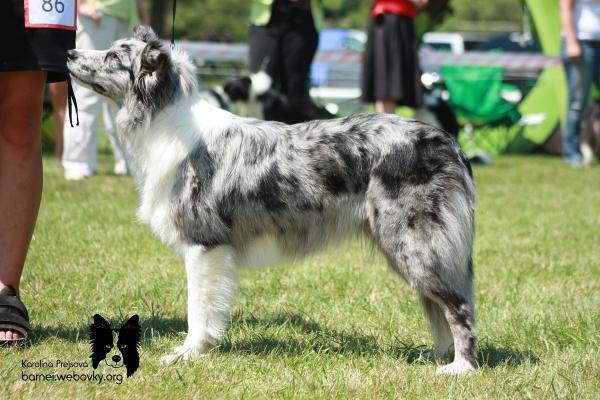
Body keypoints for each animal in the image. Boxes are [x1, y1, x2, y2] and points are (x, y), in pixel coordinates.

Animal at [65, 28, 478, 376]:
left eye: (113, 58)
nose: (69, 52)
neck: (164, 120)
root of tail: (449, 143)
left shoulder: (204, 244)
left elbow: (198, 309)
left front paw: (187, 354)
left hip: (414, 243)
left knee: (459, 306)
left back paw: (461, 368)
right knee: (439, 306)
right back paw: (437, 356)